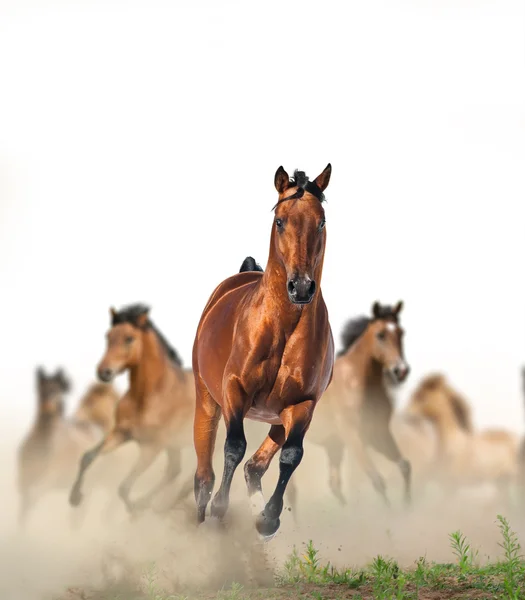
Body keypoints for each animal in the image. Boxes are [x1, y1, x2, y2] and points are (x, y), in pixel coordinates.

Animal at [17, 368, 118, 528]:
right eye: (41, 389)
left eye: (58, 391)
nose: (47, 411)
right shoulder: (24, 480)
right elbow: (23, 511)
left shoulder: (47, 480)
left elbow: (30, 503)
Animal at [67, 304, 194, 516]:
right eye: (108, 336)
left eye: (129, 338)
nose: (104, 372)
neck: (149, 396)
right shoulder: (121, 433)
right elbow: (88, 457)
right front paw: (75, 497)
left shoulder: (153, 446)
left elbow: (124, 487)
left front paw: (134, 510)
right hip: (175, 446)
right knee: (174, 471)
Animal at [191, 165, 332, 540]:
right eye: (280, 220)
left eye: (321, 221)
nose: (301, 287)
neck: (282, 328)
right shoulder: (234, 391)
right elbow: (234, 446)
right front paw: (221, 508)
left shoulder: (303, 404)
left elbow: (291, 456)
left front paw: (268, 519)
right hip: (206, 401)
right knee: (203, 476)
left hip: (277, 418)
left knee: (256, 466)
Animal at [304, 300, 412, 506]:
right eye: (380, 334)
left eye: (401, 332)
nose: (401, 370)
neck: (357, 380)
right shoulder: (353, 435)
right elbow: (377, 480)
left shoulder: (378, 433)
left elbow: (404, 466)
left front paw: (407, 507)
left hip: (334, 446)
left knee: (334, 484)